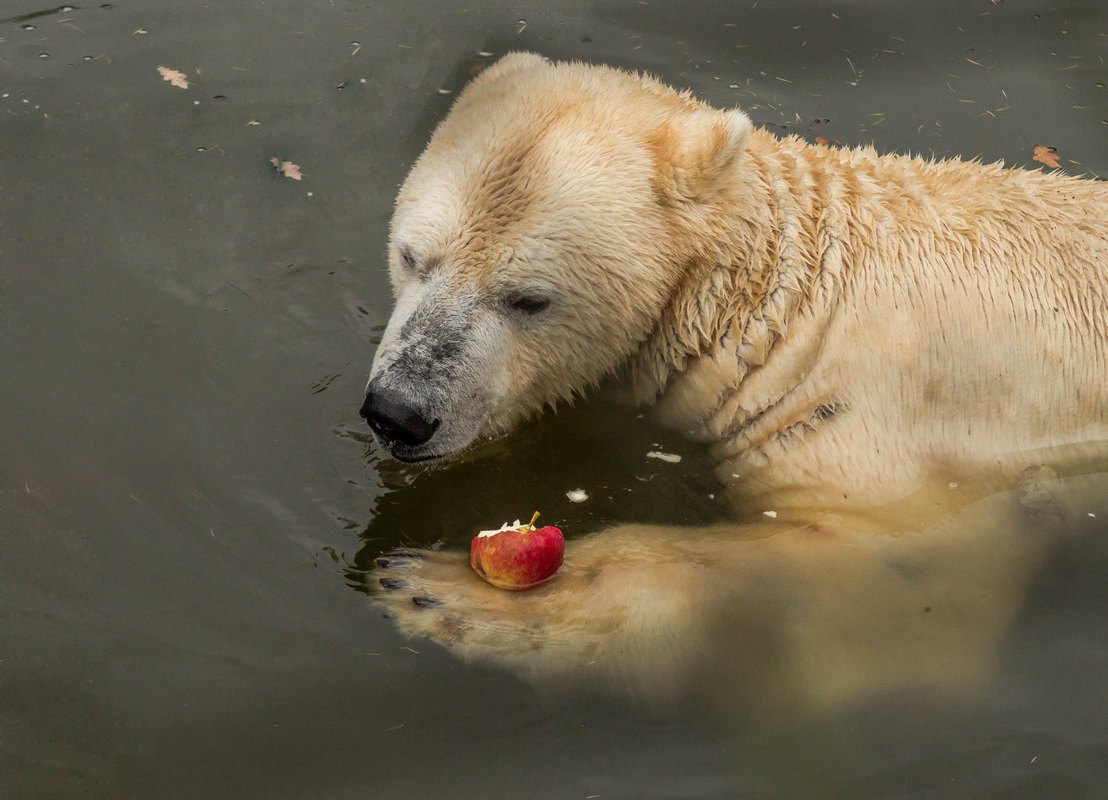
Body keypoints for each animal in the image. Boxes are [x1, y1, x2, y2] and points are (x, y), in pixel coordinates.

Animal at [358, 52, 1103, 704]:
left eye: (528, 299)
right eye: (412, 255)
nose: (400, 412)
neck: (788, 304)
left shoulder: (903, 432)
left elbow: (882, 594)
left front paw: (441, 587)